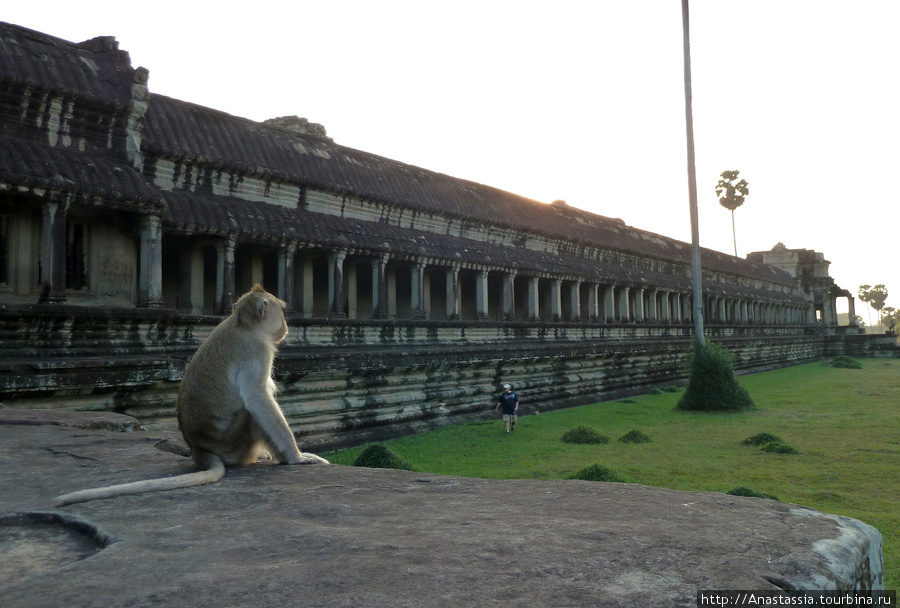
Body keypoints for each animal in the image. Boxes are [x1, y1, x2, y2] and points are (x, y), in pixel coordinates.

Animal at [52, 288, 328, 506]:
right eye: (281, 312)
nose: (286, 327)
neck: (243, 325)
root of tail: (199, 449)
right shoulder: (258, 351)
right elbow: (257, 398)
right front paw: (297, 457)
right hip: (237, 442)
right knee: (255, 411)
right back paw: (282, 458)